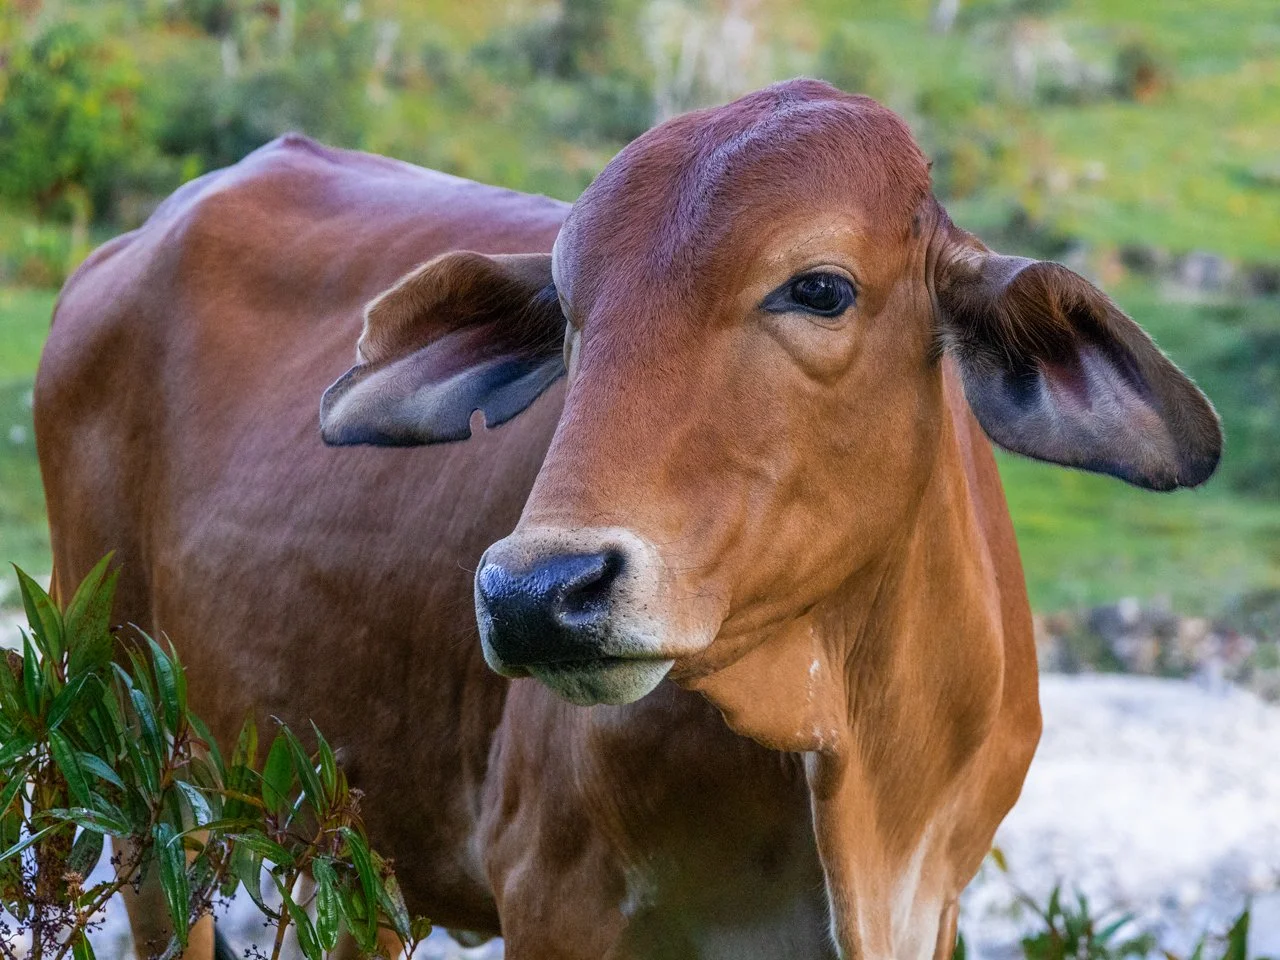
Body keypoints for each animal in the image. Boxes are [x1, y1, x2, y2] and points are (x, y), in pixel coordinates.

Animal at [36, 79, 1221, 960]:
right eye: (568, 310)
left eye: (820, 288)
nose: (534, 595)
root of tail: (118, 253)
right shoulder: (554, 895)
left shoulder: (932, 902)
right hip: (123, 767)